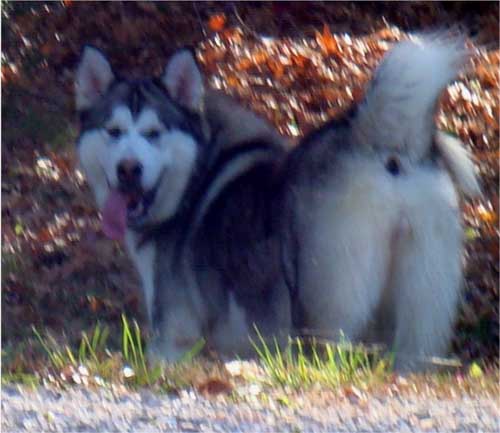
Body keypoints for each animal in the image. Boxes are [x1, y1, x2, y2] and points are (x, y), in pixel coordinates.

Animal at [75, 35, 480, 370]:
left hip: (325, 305)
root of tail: (376, 144)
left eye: (153, 133)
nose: (129, 169)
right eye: (113, 132)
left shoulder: (175, 336)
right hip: (418, 315)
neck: (195, 173)